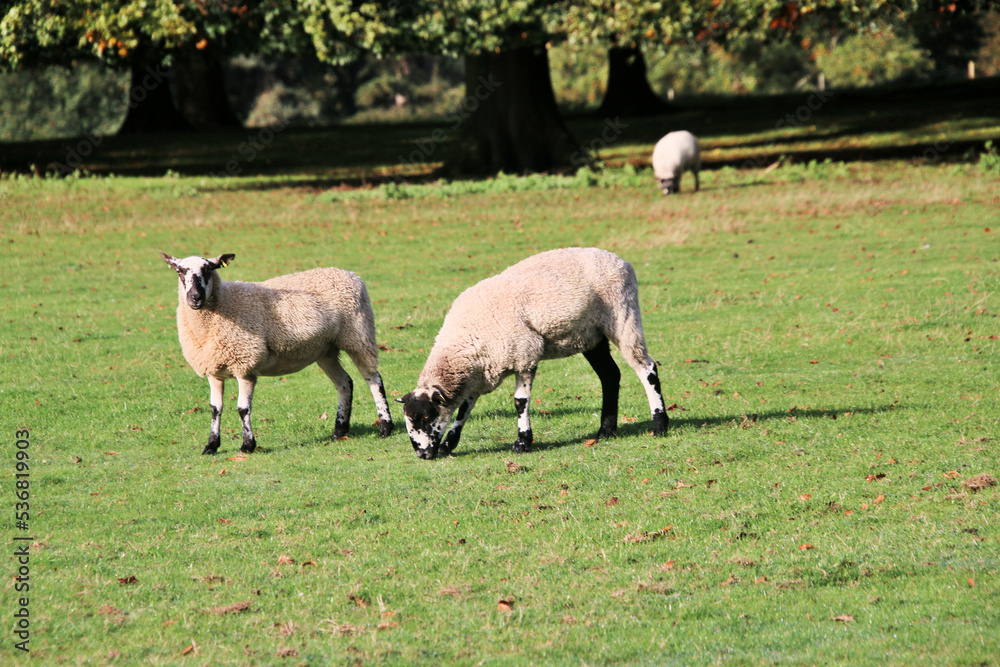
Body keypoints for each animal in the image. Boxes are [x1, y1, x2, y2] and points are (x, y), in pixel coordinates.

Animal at [160, 251, 393, 454]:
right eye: (180, 271)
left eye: (208, 269)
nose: (195, 298)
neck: (222, 306)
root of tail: (350, 274)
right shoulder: (213, 369)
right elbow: (215, 408)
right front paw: (211, 446)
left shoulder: (245, 364)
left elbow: (243, 408)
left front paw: (247, 445)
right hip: (326, 349)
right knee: (344, 383)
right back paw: (339, 431)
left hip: (358, 334)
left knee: (373, 379)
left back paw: (385, 427)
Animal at [399, 247, 669, 460]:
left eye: (426, 416)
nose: (422, 454)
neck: (466, 340)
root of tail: (619, 260)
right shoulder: (479, 374)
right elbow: (465, 409)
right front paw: (448, 444)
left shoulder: (525, 355)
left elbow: (520, 402)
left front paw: (522, 442)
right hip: (592, 335)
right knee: (610, 376)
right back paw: (605, 431)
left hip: (623, 316)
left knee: (647, 369)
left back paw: (659, 425)